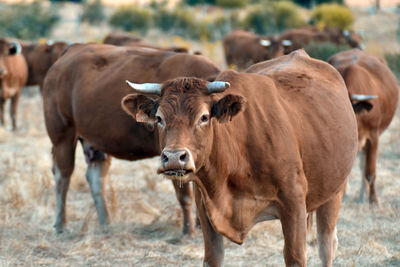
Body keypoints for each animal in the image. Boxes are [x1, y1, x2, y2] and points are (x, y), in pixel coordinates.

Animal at [42, 44, 220, 237]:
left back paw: (106, 223)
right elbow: (185, 195)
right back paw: (61, 225)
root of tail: (71, 51)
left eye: (203, 117)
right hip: (62, 137)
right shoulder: (171, 156)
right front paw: (189, 231)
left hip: (94, 143)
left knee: (96, 177)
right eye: (160, 118)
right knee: (62, 177)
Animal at [122, 49, 360, 266]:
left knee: (326, 246)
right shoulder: (206, 209)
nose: (173, 157)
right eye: (159, 118)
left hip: (334, 190)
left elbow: (295, 257)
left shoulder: (294, 205)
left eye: (204, 117)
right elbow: (213, 258)